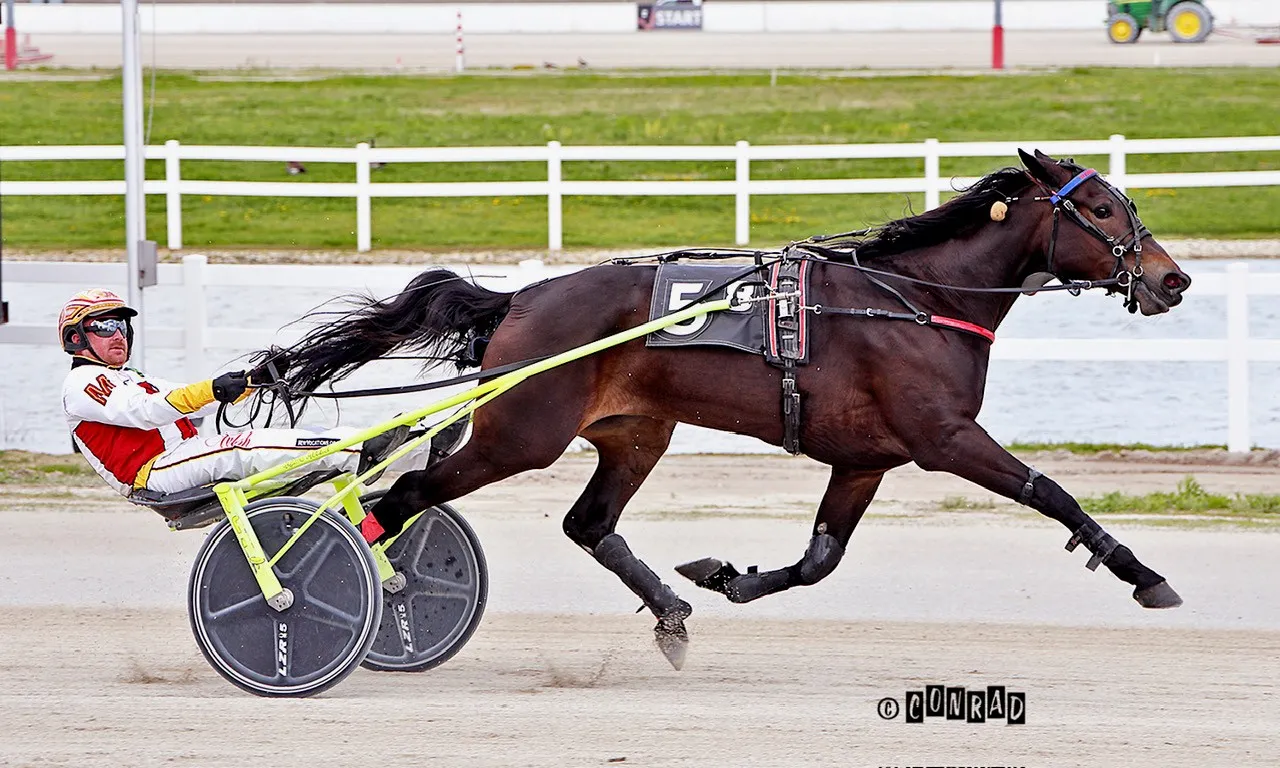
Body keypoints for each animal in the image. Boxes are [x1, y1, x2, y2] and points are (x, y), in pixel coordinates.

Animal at [272, 149, 1192, 669]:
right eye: (1102, 210)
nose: (1173, 278)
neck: (920, 301)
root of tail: (520, 299)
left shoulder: (865, 458)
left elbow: (820, 559)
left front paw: (724, 576)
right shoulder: (944, 437)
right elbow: (1051, 492)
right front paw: (1144, 575)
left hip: (636, 431)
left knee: (586, 522)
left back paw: (672, 613)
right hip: (521, 434)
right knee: (397, 499)